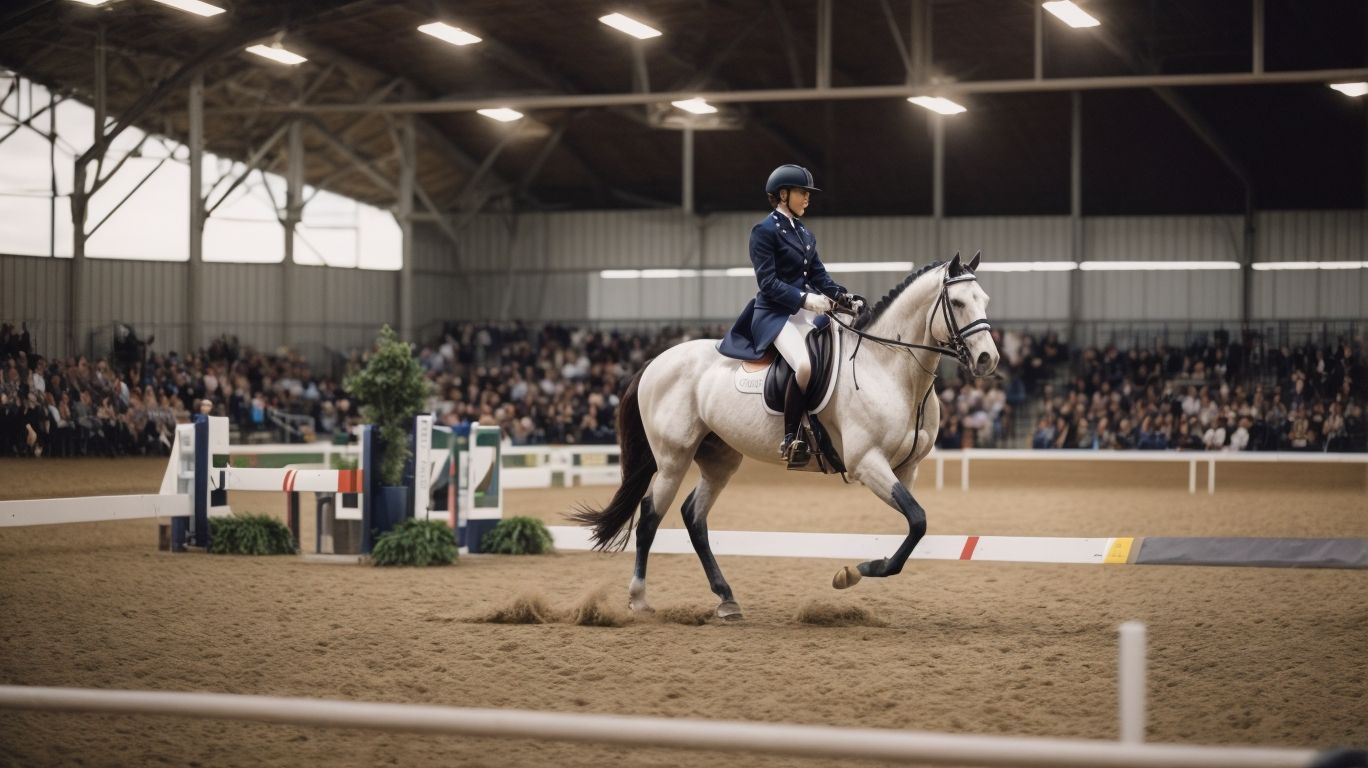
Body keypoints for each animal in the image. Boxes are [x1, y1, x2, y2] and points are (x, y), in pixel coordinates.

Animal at [571, 252, 1000, 620]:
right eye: (958, 302)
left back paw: (726, 599)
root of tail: (655, 361)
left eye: (984, 300)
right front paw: (853, 572)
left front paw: (858, 570)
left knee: (694, 517)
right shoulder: (867, 463)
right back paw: (639, 600)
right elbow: (918, 520)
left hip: (719, 458)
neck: (887, 367)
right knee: (649, 519)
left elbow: (915, 524)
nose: (987, 360)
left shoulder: (906, 468)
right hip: (673, 457)